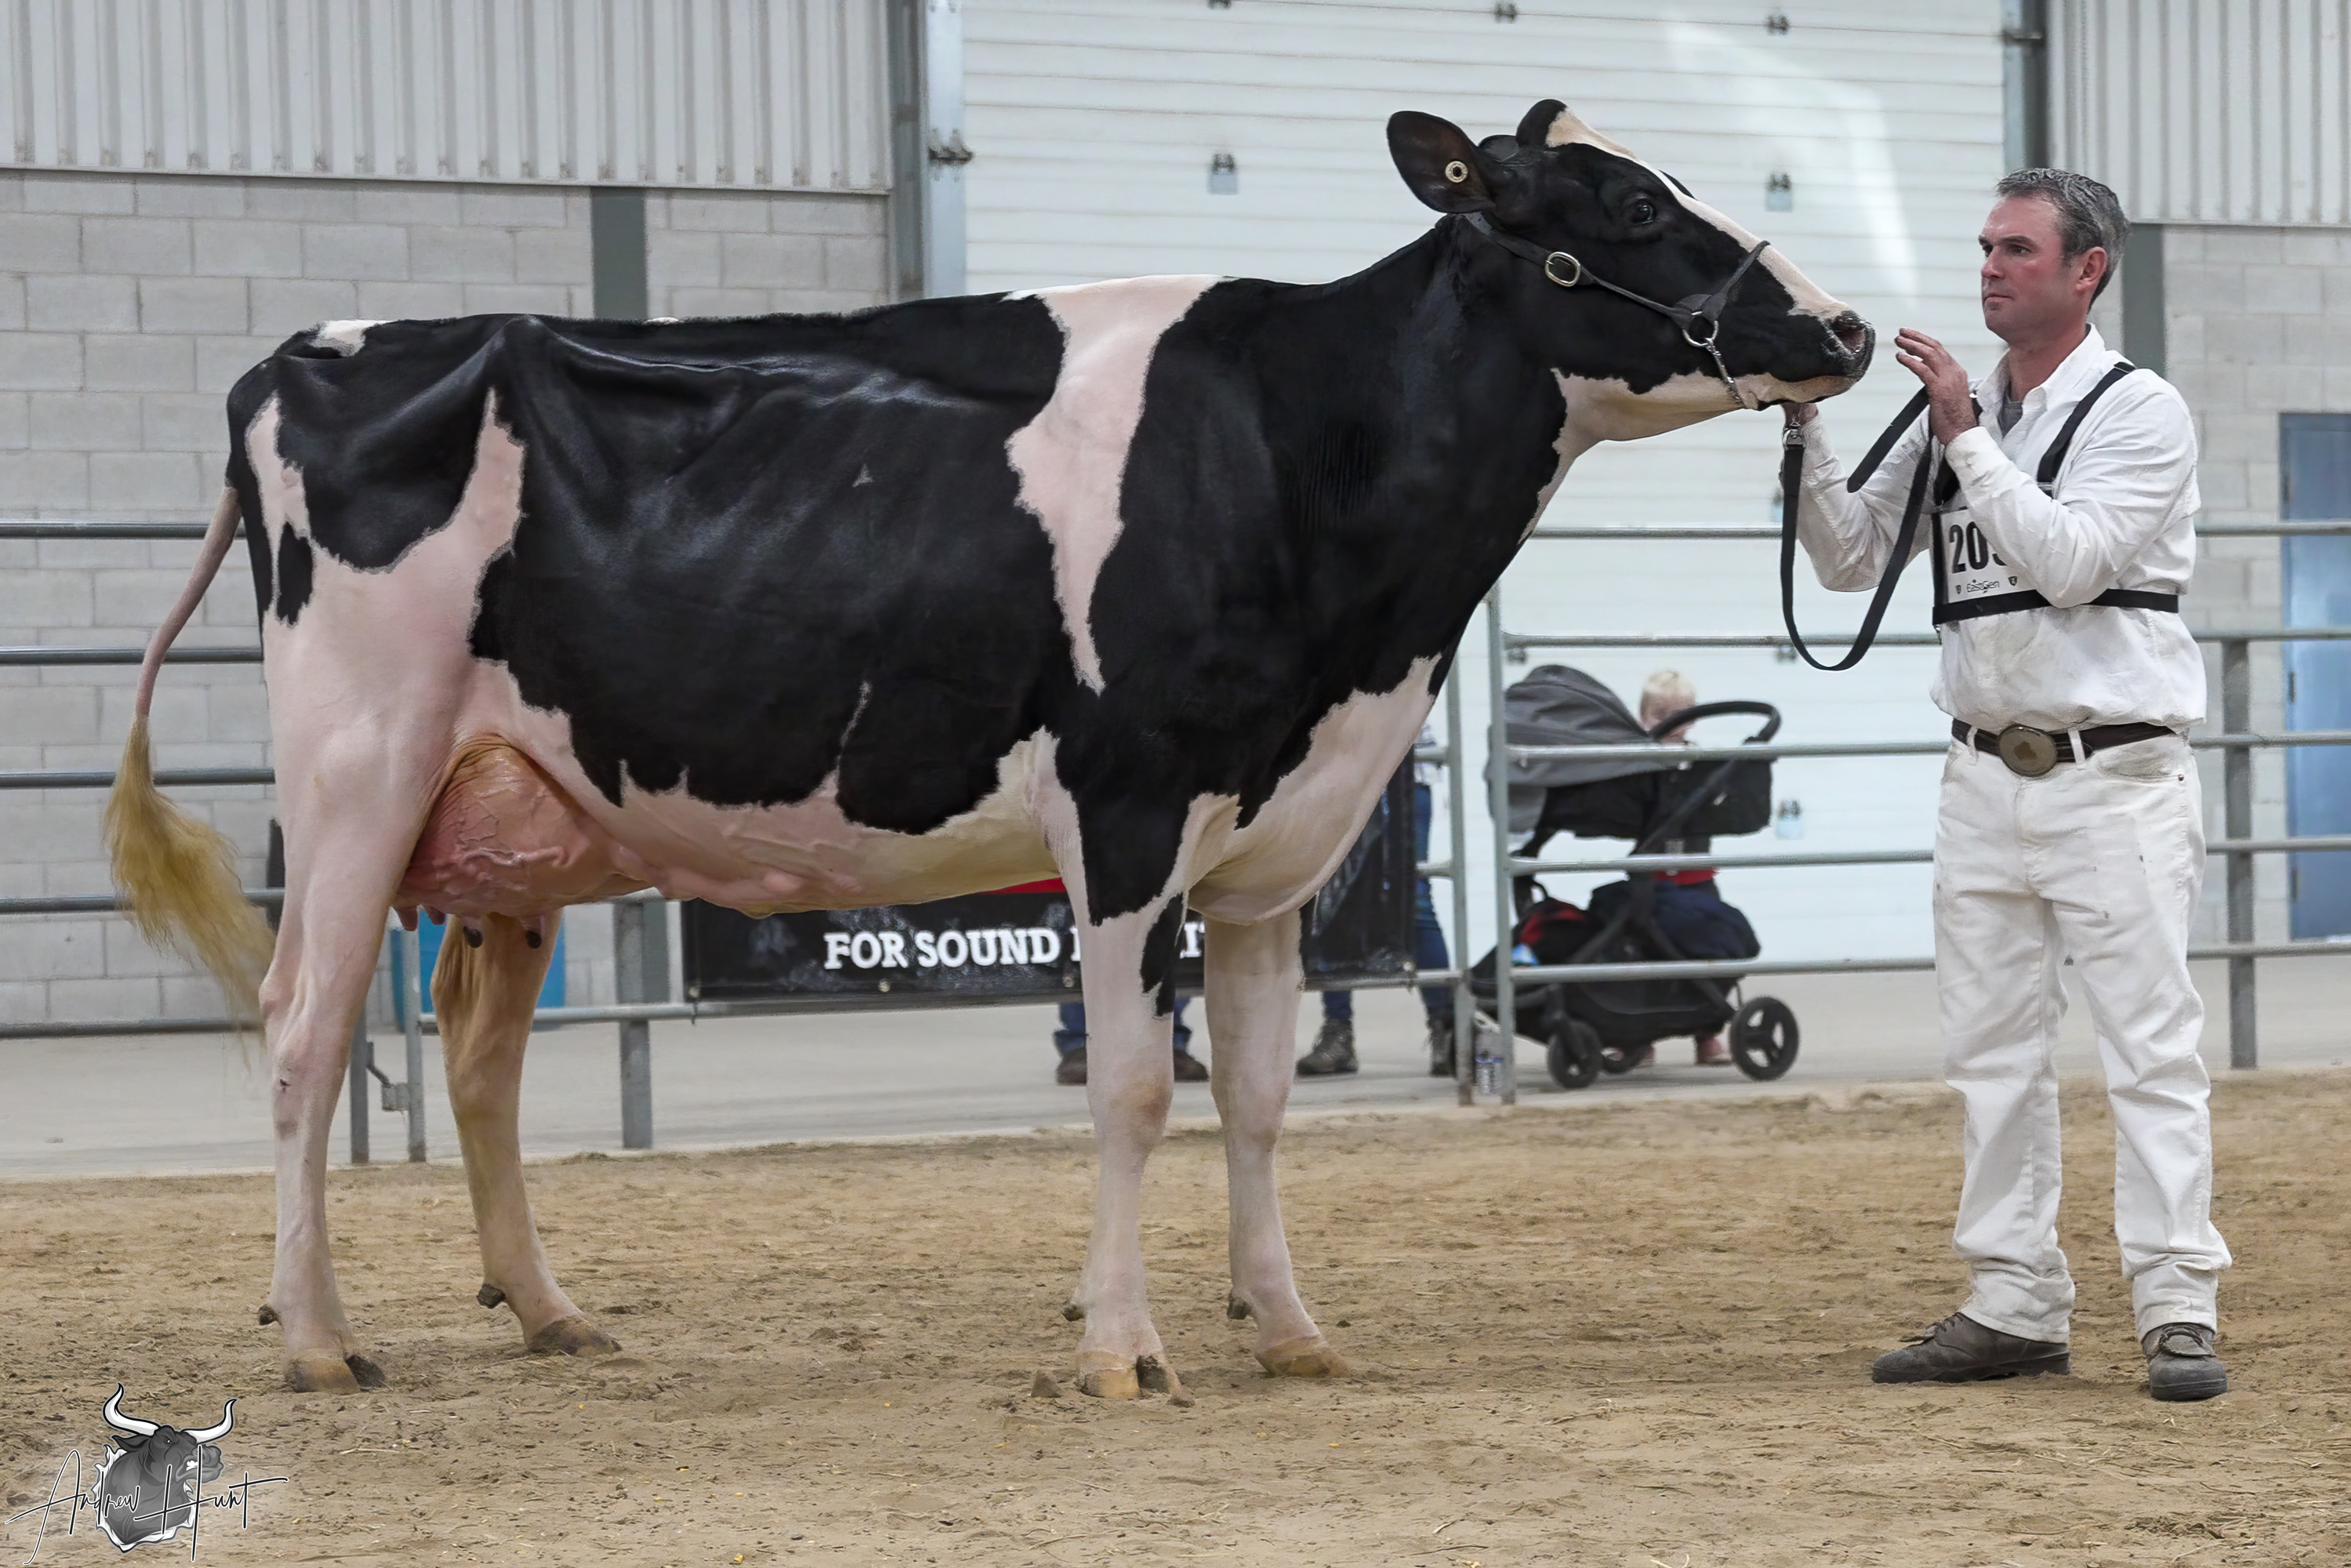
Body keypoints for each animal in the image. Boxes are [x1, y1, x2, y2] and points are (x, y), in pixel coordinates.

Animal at [109, 101, 1870, 1398]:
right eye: (1618, 205)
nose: (1846, 328)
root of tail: (304, 357)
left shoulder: (1274, 843)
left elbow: (1253, 1099)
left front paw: (1288, 1329)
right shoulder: (1129, 802)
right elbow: (1136, 1092)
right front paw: (1124, 1349)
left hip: (511, 825)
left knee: (479, 1063)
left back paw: (546, 1310)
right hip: (357, 776)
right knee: (301, 1032)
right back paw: (319, 1339)